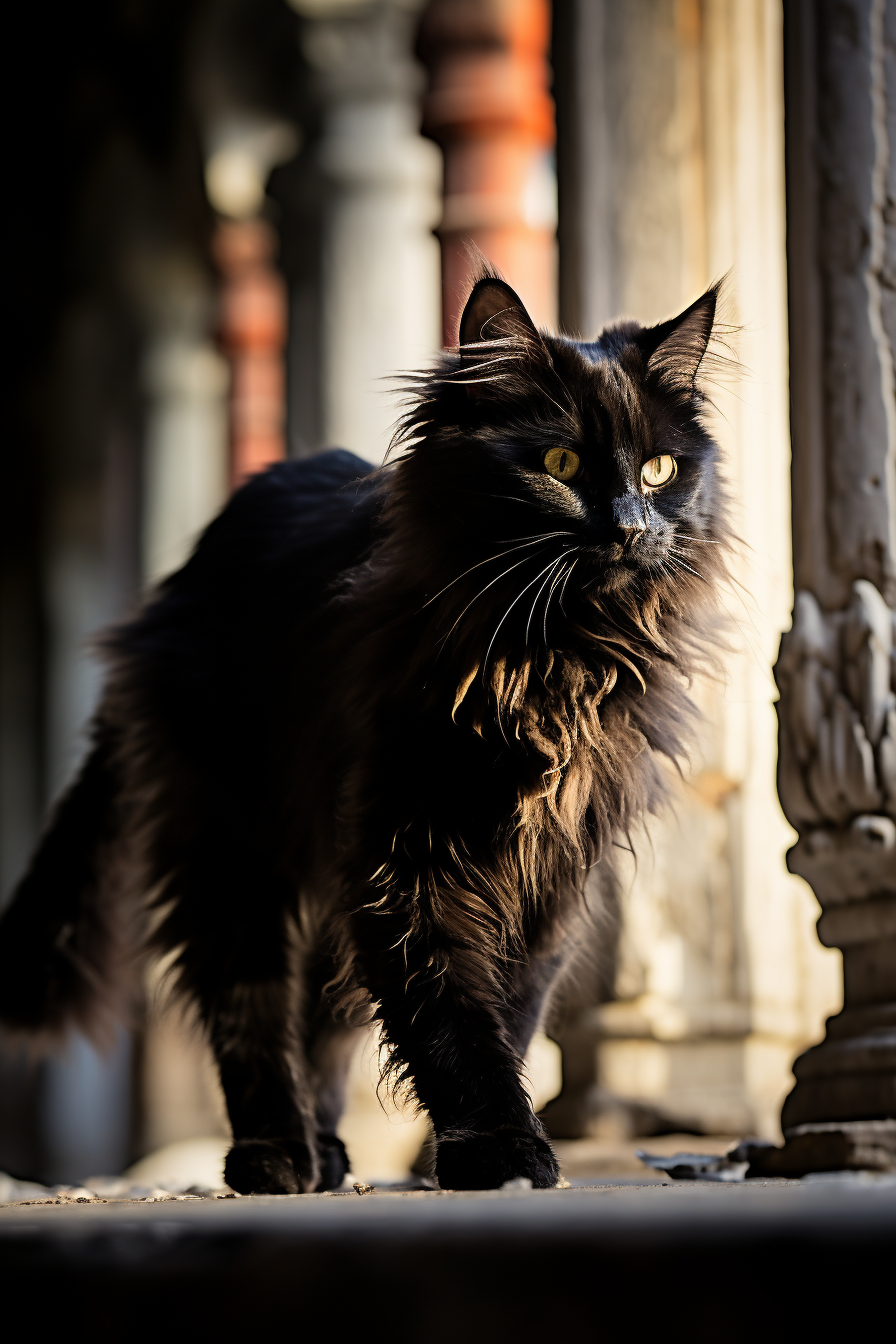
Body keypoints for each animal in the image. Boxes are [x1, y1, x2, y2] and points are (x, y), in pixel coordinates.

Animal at [0, 270, 730, 1188]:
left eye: (661, 468)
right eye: (560, 464)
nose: (635, 527)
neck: (554, 659)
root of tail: (178, 581)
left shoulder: (549, 876)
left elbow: (509, 1012)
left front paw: (476, 1151)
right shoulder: (409, 856)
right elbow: (450, 1017)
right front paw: (499, 1149)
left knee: (323, 1011)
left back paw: (324, 1151)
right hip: (231, 839)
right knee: (247, 1000)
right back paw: (273, 1154)